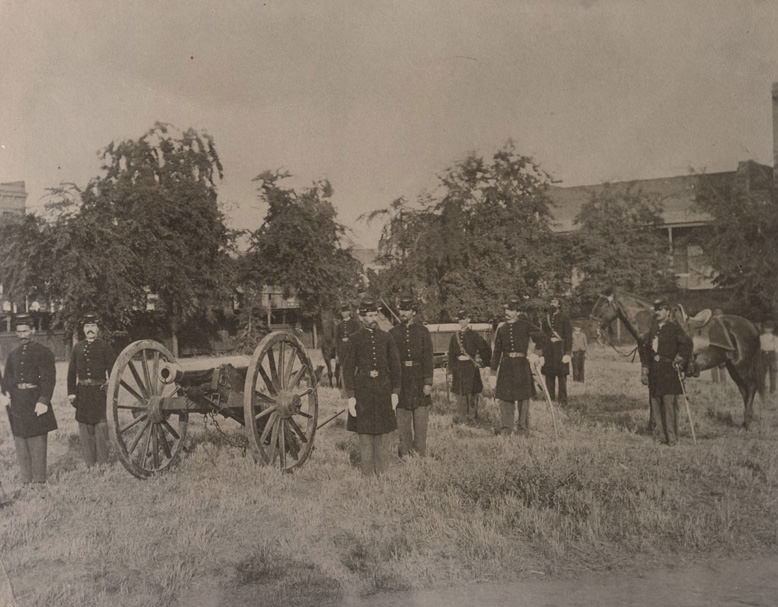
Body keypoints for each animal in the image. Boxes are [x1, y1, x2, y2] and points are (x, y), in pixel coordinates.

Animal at [588, 288, 764, 428]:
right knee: (744, 390)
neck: (653, 325)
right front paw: (653, 425)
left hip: (741, 365)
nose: (592, 330)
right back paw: (746, 420)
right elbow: (652, 395)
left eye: (603, 304)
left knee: (751, 387)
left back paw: (747, 423)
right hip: (733, 367)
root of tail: (753, 327)